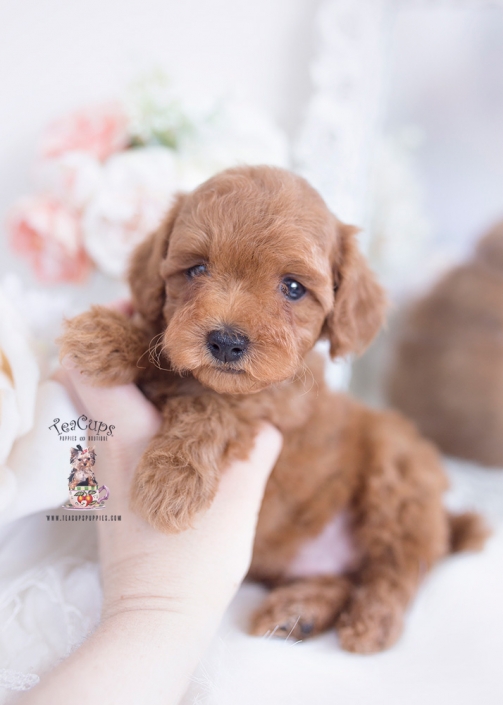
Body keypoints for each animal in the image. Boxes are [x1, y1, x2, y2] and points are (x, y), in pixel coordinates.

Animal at [60, 166, 488, 656]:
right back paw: (299, 612)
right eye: (196, 268)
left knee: (397, 568)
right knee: (351, 576)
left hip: (399, 473)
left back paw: (370, 623)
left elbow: (211, 405)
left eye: (294, 288)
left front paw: (171, 483)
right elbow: (162, 349)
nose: (226, 341)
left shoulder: (275, 405)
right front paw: (106, 334)